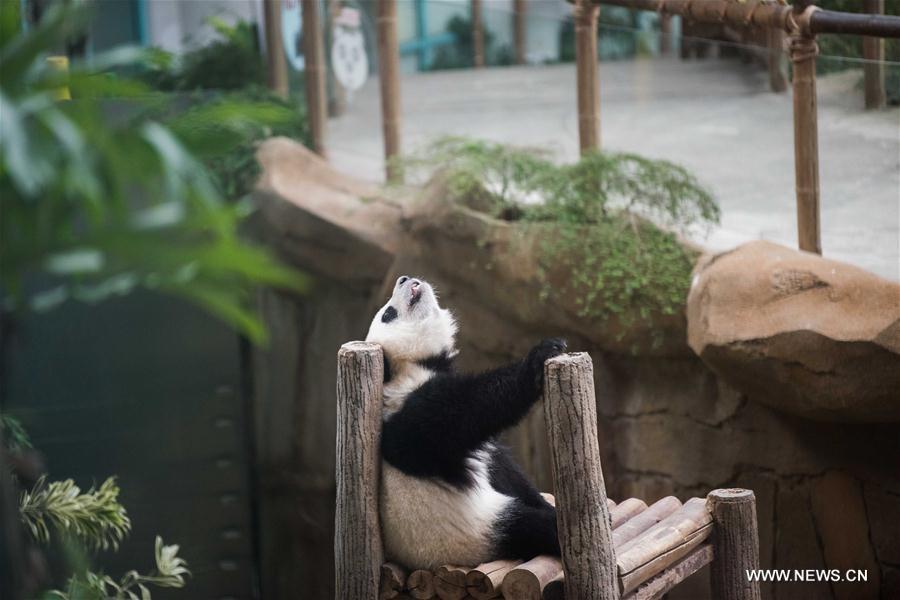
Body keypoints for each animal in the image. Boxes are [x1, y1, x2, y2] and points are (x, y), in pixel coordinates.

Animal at [365, 275, 566, 570]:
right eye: (388, 314)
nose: (404, 278)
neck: (411, 367)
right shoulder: (412, 416)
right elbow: (472, 406)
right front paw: (539, 357)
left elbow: (503, 467)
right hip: (475, 532)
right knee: (527, 527)